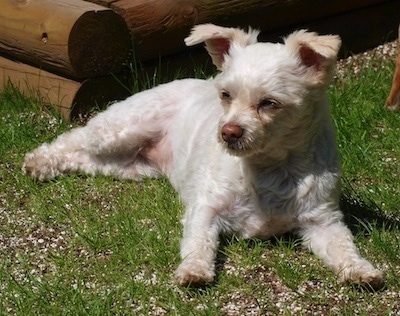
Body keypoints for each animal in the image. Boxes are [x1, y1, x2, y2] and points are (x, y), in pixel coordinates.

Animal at [22, 24, 384, 288]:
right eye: (225, 94)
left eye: (269, 103)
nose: (228, 132)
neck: (268, 166)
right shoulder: (205, 208)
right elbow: (199, 242)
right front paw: (194, 270)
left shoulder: (323, 220)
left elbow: (343, 245)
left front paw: (360, 269)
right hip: (118, 130)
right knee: (73, 140)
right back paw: (38, 162)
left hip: (127, 166)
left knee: (85, 159)